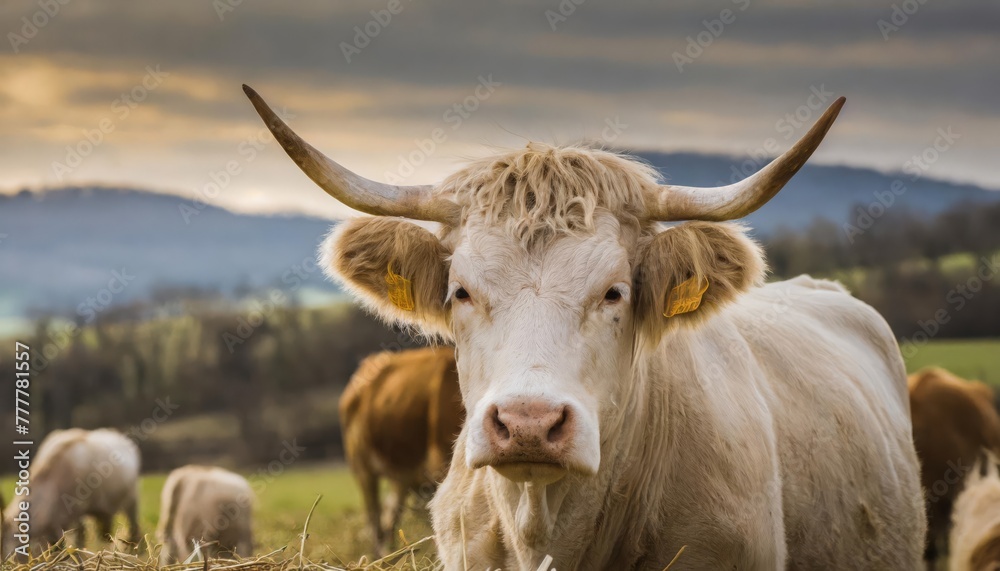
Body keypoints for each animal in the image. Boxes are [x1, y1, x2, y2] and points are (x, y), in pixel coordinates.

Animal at [1, 428, 140, 560]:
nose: (5, 562)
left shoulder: (78, 511)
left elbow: (79, 537)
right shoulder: (54, 523)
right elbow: (56, 545)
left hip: (131, 499)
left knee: (133, 524)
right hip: (104, 510)